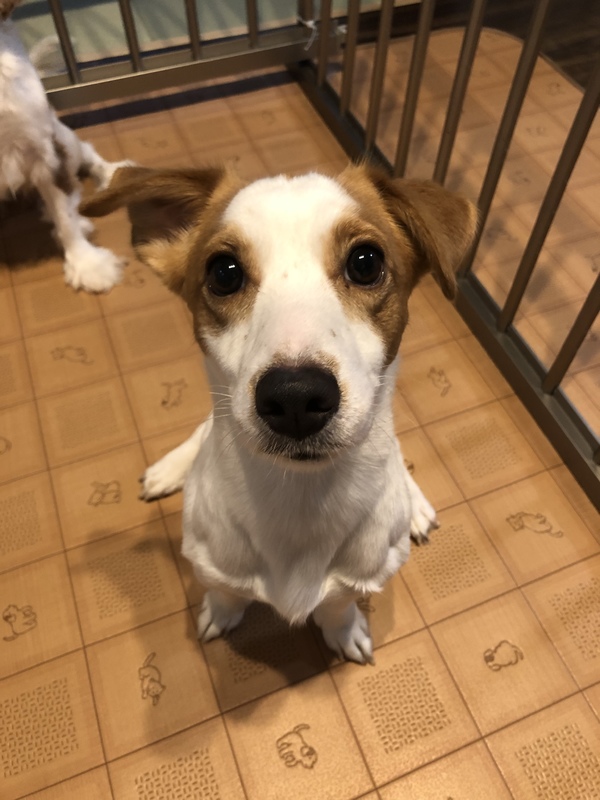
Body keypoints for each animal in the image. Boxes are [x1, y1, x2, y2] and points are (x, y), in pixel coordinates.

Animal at [81, 162, 477, 663]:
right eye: (224, 272)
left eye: (366, 262)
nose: (295, 397)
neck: (300, 497)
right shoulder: (211, 562)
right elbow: (225, 592)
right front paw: (220, 613)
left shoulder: (361, 575)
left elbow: (339, 605)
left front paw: (343, 629)